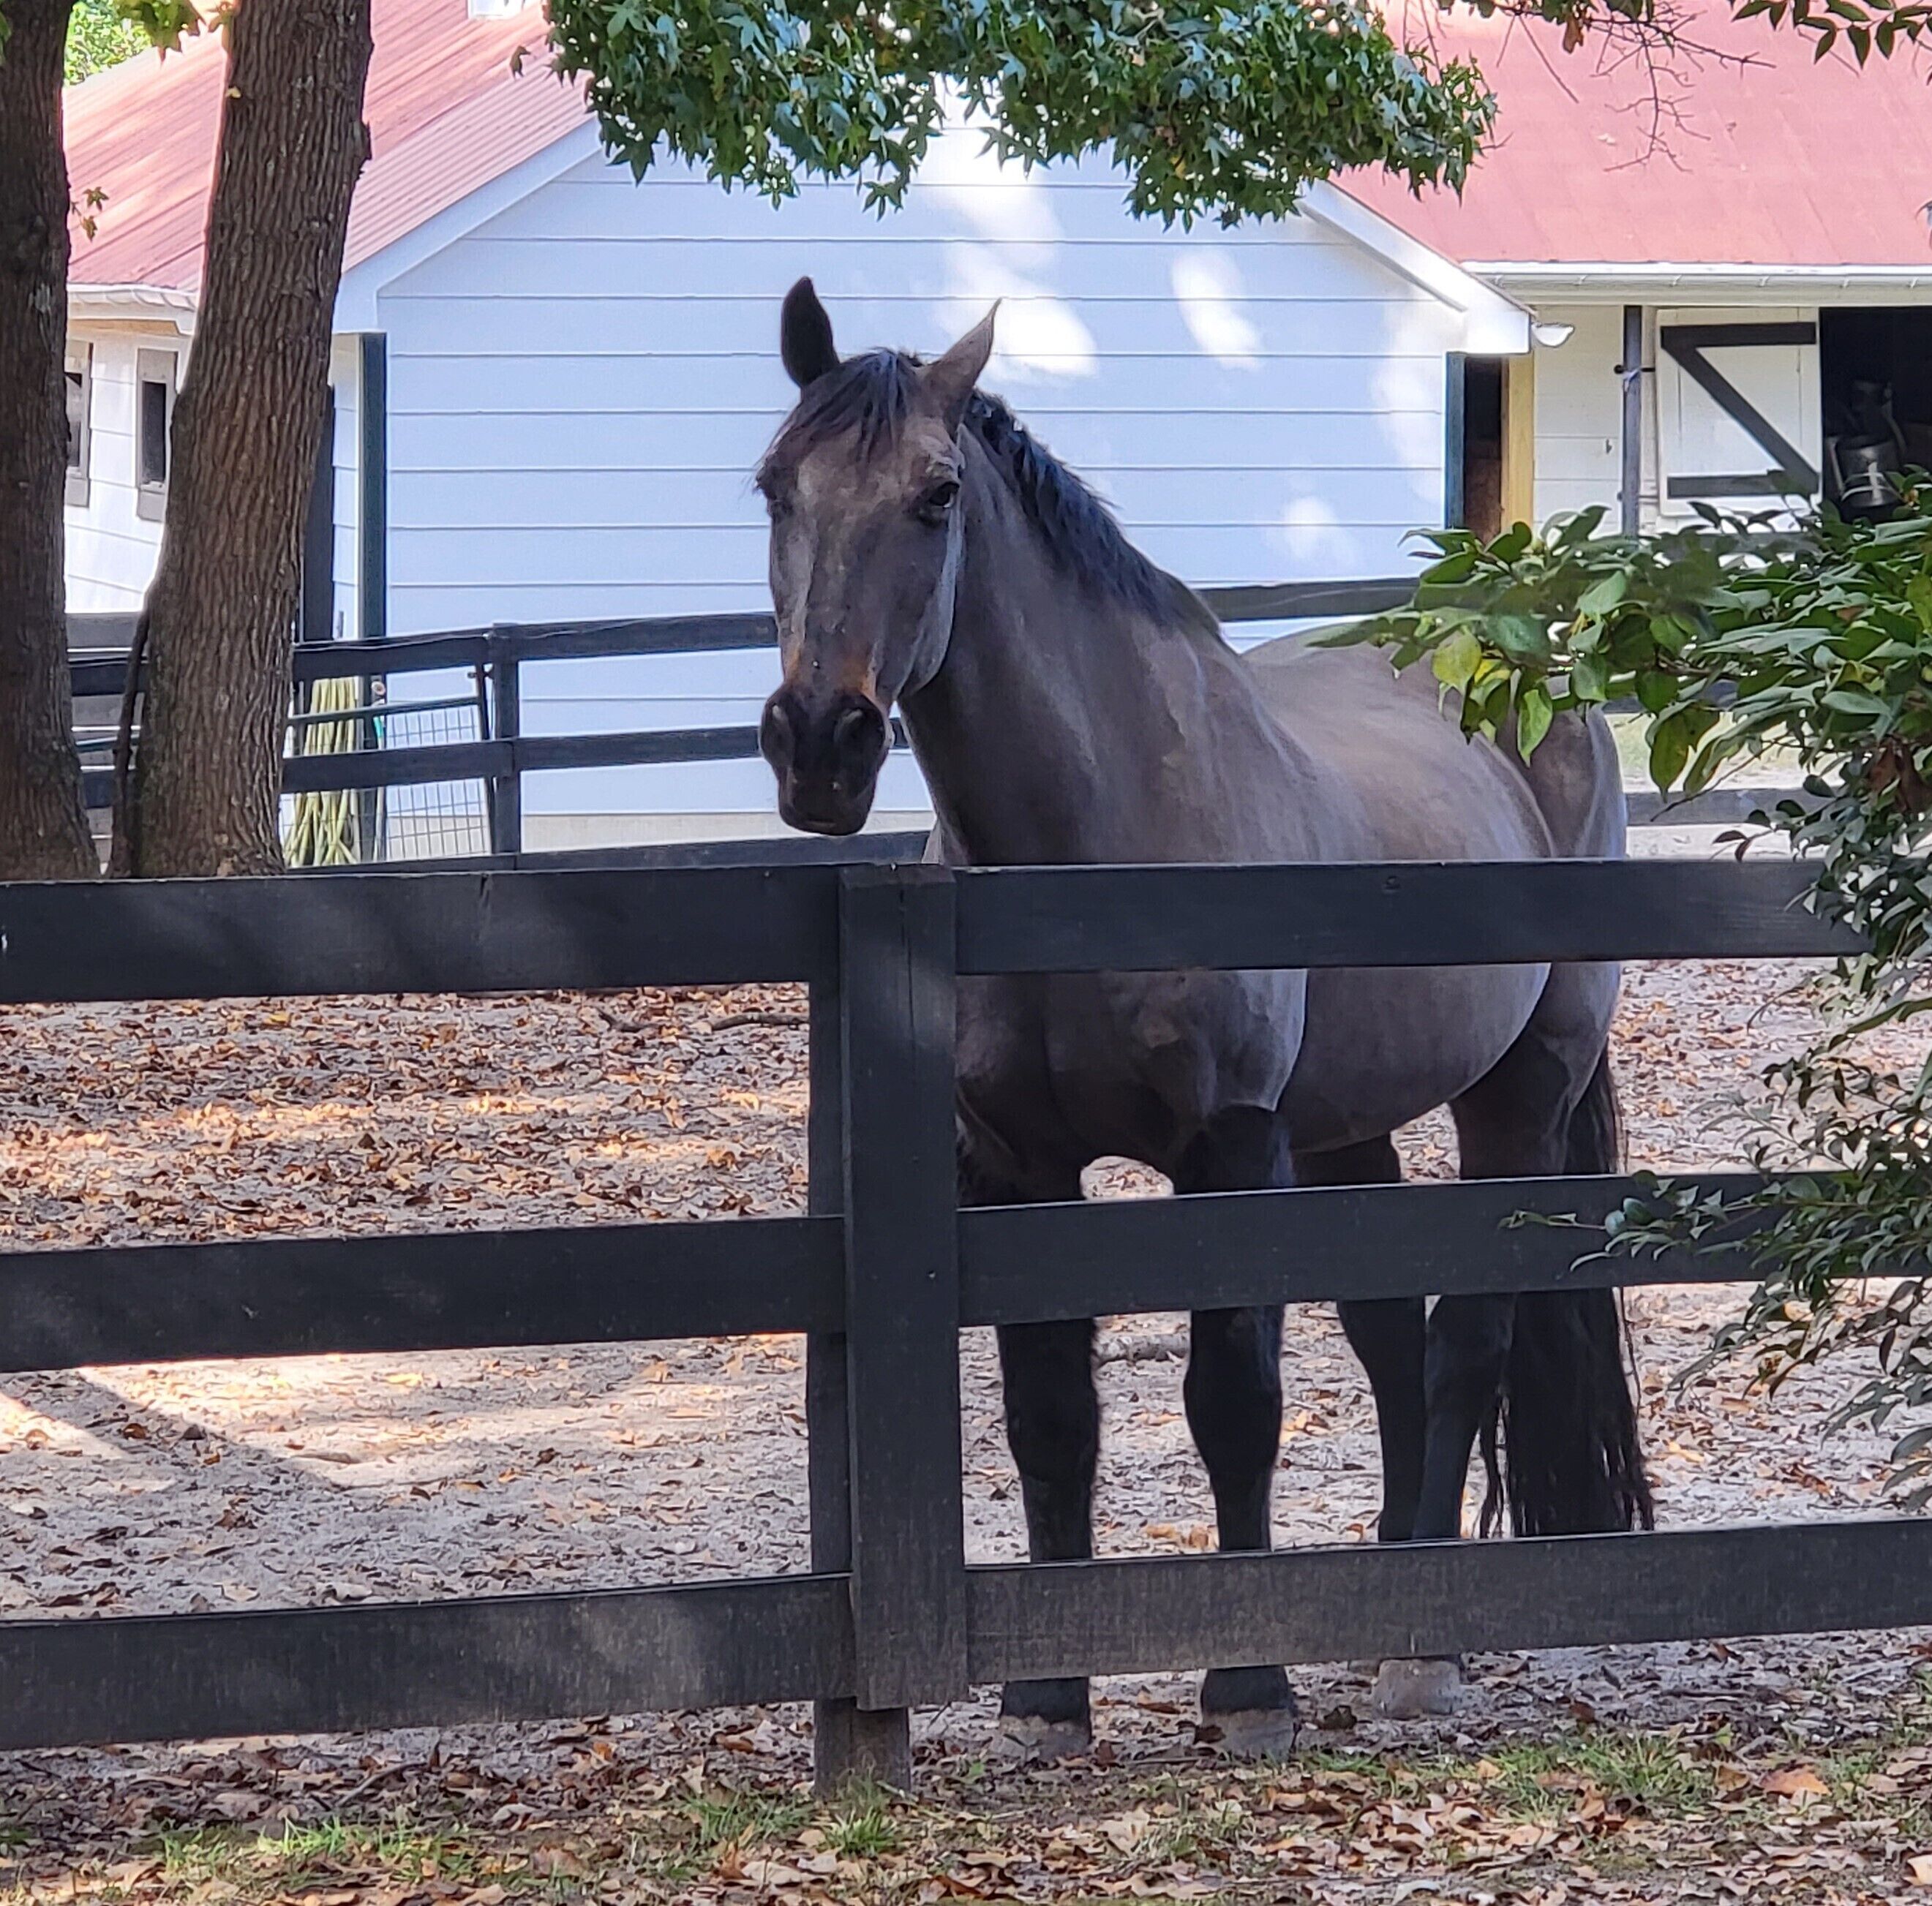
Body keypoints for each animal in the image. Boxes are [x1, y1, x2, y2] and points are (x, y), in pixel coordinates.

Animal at [756, 279, 1651, 1756]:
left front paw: (1245, 1683)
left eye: (937, 494)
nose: (819, 742)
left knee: (1466, 1342)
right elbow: (1050, 1416)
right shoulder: (1014, 1166)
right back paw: (1386, 1599)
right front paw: (1047, 1696)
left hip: (1521, 1092)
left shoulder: (1228, 1149)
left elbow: (1233, 1402)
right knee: (1393, 1340)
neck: (1093, 854)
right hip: (1344, 1134)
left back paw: (1425, 1649)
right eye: (775, 486)